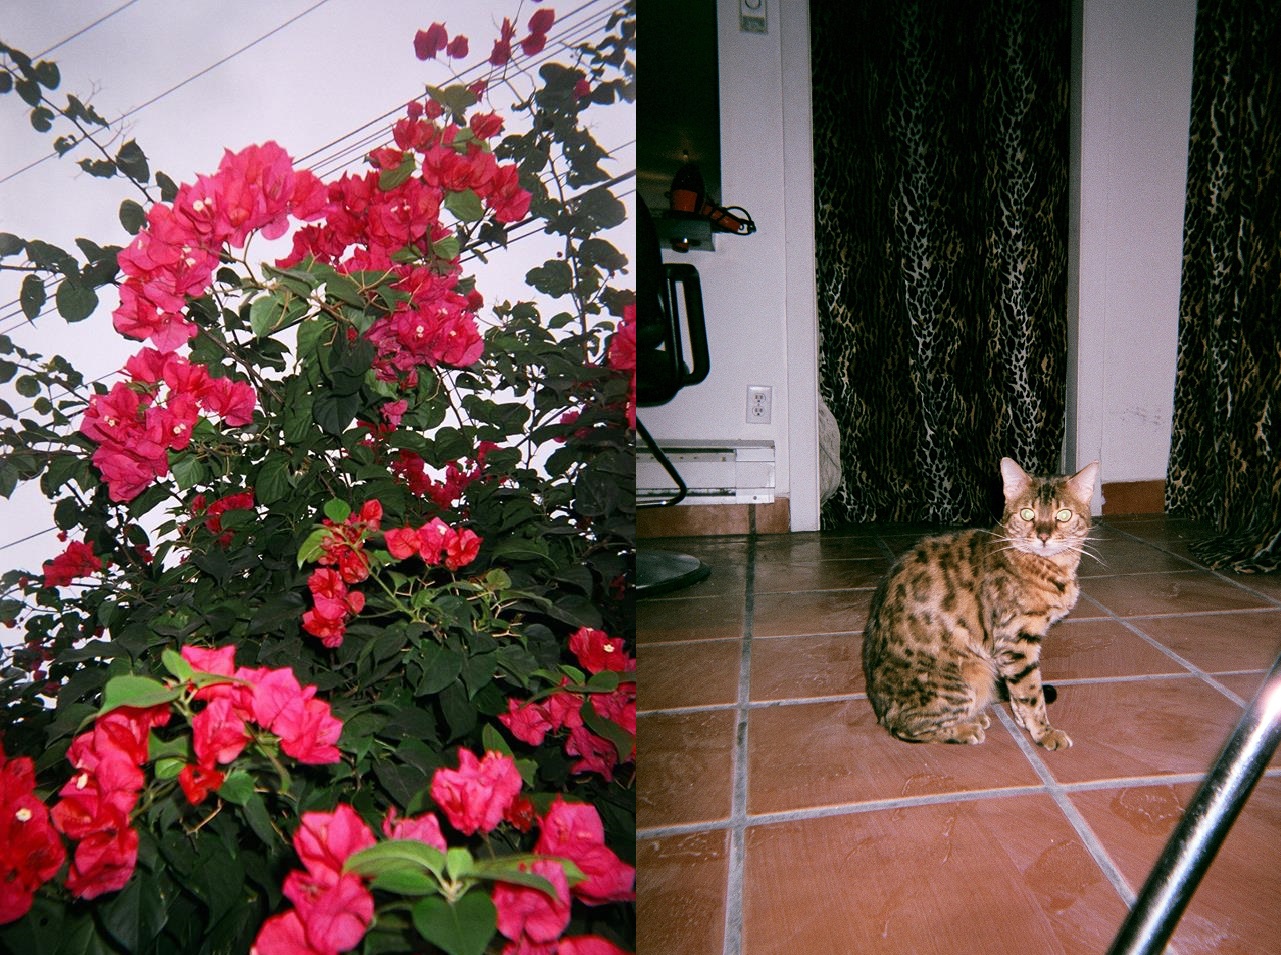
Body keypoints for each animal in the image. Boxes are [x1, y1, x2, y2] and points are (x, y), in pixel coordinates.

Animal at [860, 458, 1101, 747]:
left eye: (1063, 515)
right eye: (1027, 514)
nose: (1043, 536)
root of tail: (879, 708)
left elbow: (1020, 696)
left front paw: (1024, 722)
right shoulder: (1016, 642)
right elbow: (1030, 694)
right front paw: (1044, 732)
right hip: (969, 676)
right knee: (905, 726)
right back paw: (965, 728)